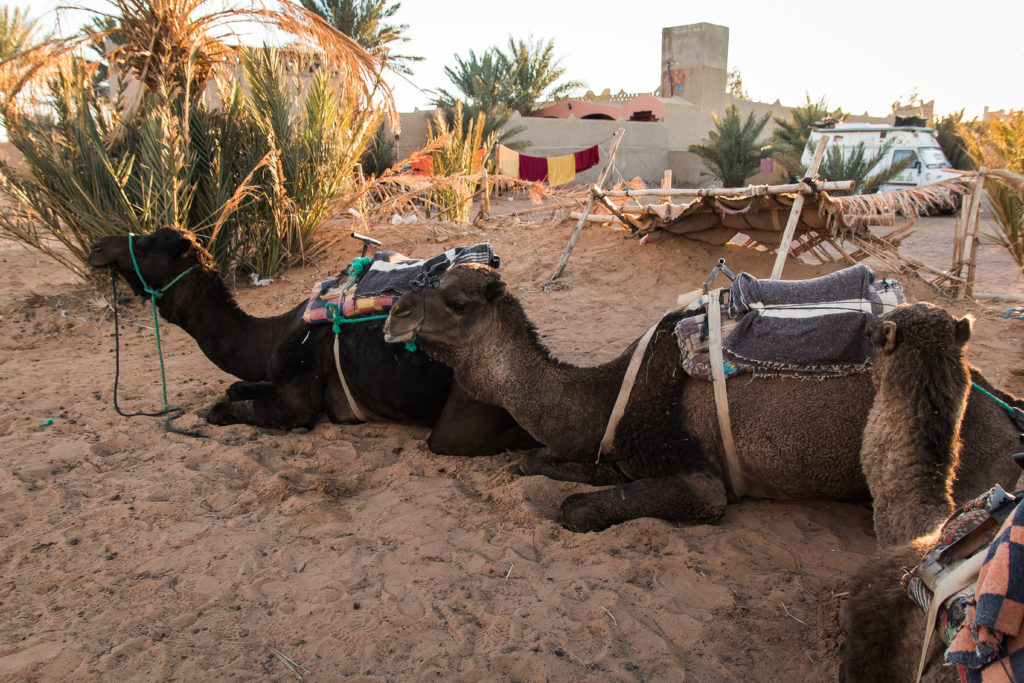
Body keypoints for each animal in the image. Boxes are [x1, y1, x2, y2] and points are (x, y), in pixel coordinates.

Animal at [88, 228, 536, 455]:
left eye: (147, 242)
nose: (97, 246)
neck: (271, 334)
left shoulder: (298, 397)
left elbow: (221, 409)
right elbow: (235, 387)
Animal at [383, 264, 1024, 532]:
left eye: (458, 300)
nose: (394, 311)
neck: (610, 393)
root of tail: (1007, 413)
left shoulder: (701, 480)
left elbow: (575, 509)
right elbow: (535, 460)